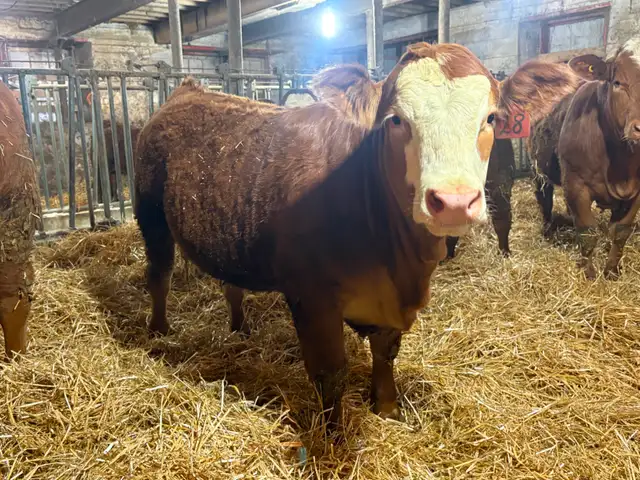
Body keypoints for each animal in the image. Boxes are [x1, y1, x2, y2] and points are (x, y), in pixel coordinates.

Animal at [134, 43, 501, 425]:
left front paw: (387, 407)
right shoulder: (311, 296)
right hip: (151, 214)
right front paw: (332, 432)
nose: (454, 201)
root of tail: (186, 90)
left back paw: (239, 328)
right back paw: (159, 331)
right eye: (396, 120)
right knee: (159, 275)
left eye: (491, 118)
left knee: (230, 284)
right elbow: (330, 372)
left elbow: (385, 351)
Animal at [501, 38, 640, 279]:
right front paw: (589, 273)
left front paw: (612, 271)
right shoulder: (577, 184)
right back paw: (547, 230)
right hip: (538, 168)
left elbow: (621, 232)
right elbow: (587, 231)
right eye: (617, 83)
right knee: (544, 199)